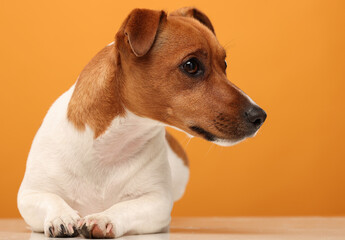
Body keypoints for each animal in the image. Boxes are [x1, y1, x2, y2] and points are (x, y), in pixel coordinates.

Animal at [18, 7, 266, 238]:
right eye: (191, 65)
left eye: (224, 64)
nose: (260, 116)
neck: (111, 145)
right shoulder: (29, 195)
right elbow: (50, 199)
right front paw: (61, 215)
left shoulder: (156, 201)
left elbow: (126, 207)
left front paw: (104, 217)